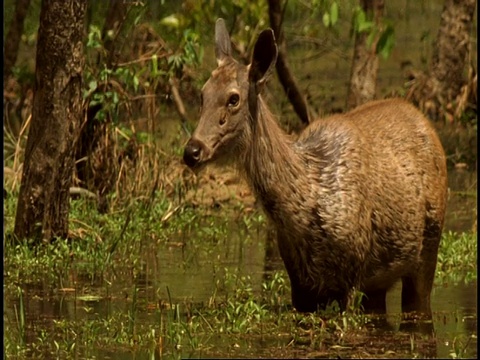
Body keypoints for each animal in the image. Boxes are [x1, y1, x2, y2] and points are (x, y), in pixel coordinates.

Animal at [182, 18, 448, 320]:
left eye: (233, 98)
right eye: (202, 94)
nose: (192, 151)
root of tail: (424, 121)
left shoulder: (350, 276)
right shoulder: (300, 286)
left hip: (428, 246)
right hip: (379, 281)